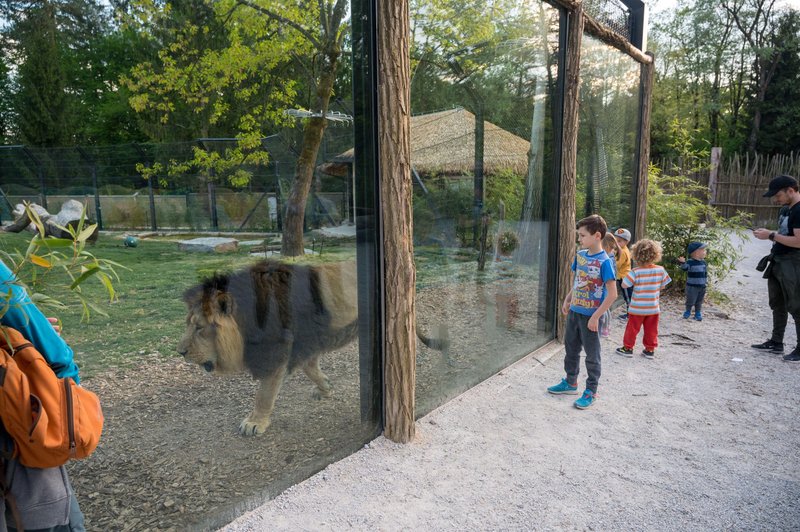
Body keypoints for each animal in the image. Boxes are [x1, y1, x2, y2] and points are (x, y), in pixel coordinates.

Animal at [177, 258, 450, 436]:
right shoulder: (306, 341)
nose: (180, 352)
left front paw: (254, 423)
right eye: (188, 324)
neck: (247, 320)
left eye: (200, 328)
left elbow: (264, 394)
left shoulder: (278, 349)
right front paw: (325, 387)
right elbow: (310, 367)